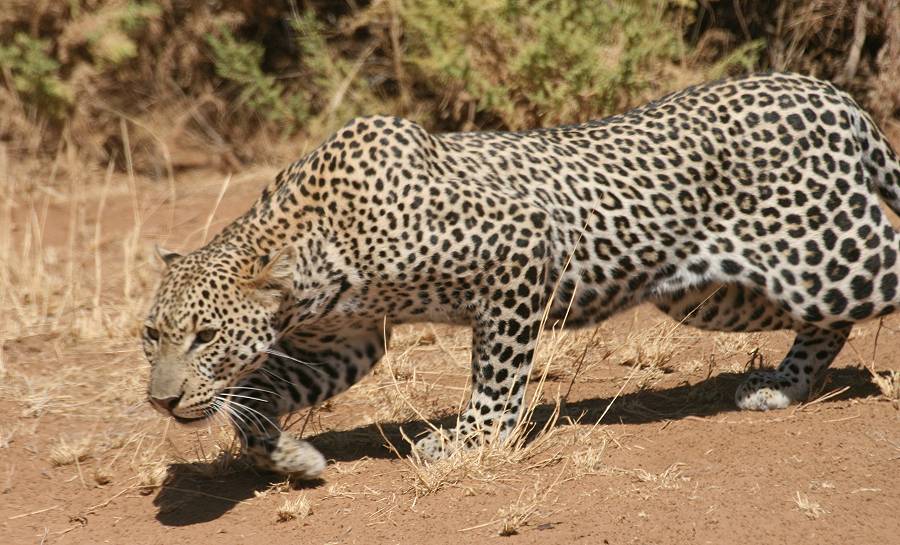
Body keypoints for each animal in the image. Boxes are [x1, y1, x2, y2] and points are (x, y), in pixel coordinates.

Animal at [141, 73, 900, 476]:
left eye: (205, 336)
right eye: (152, 337)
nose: (161, 401)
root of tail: (830, 93)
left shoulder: (522, 254)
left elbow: (497, 374)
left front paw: (473, 441)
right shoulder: (350, 339)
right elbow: (261, 391)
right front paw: (285, 455)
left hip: (829, 256)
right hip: (721, 293)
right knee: (824, 325)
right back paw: (784, 385)